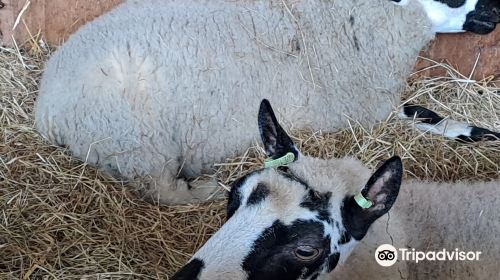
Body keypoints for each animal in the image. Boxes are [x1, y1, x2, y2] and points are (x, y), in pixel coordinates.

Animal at [34, 0, 496, 206]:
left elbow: (426, 114)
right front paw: (473, 131)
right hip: (136, 142)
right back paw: (206, 187)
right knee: (162, 191)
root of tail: (44, 110)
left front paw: (480, 131)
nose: (494, 10)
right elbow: (423, 117)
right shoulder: (356, 108)